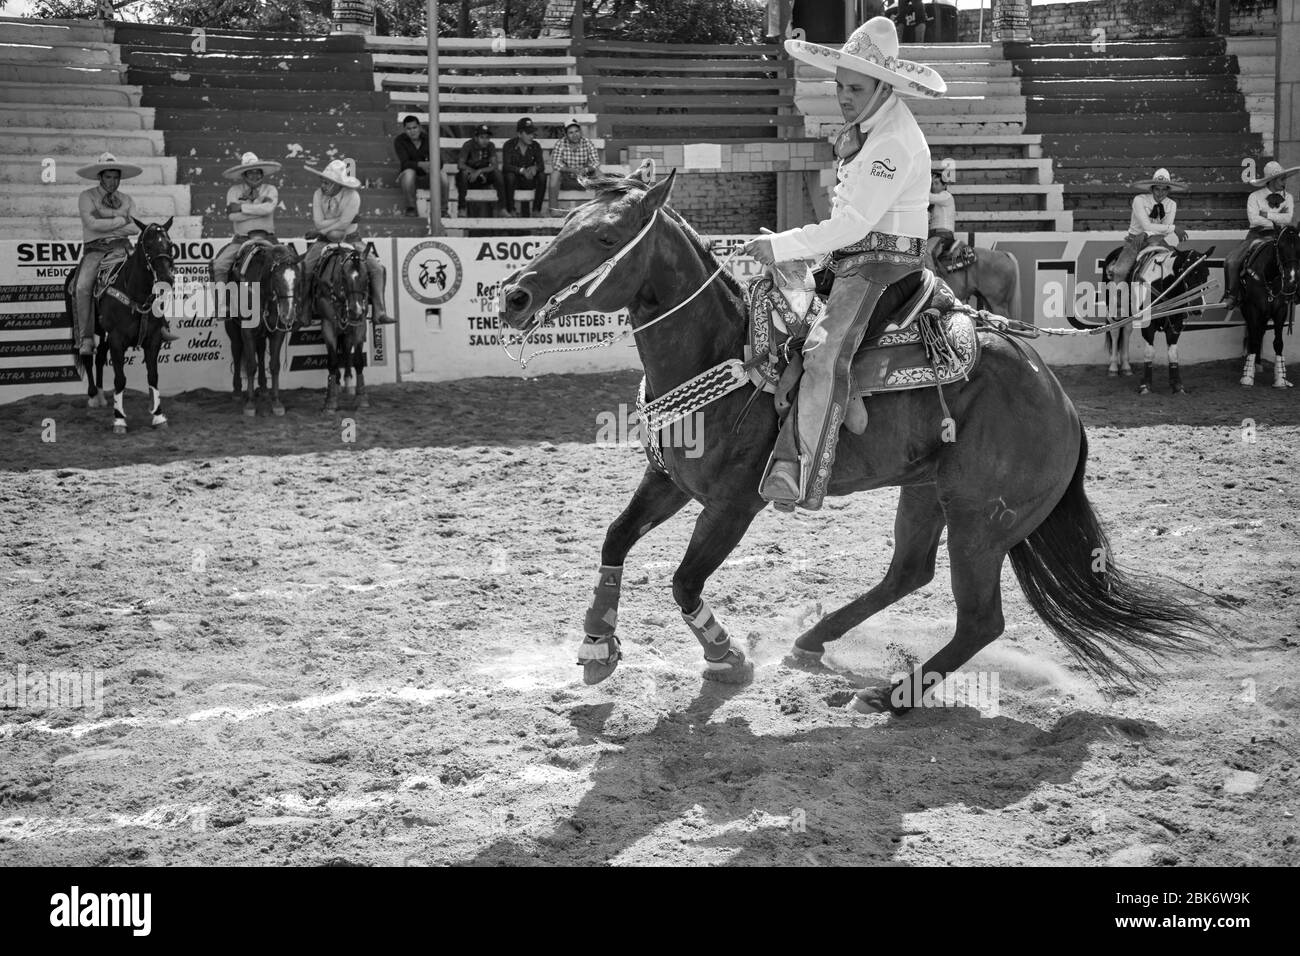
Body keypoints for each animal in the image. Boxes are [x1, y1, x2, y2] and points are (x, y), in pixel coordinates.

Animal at [65, 217, 175, 434]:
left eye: (169, 244)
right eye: (148, 245)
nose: (167, 277)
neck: (136, 293)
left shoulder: (154, 339)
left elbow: (153, 376)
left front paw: (159, 417)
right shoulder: (117, 340)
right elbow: (120, 379)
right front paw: (119, 420)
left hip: (104, 333)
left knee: (99, 357)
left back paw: (100, 394)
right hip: (83, 326)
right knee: (87, 355)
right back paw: (93, 396)